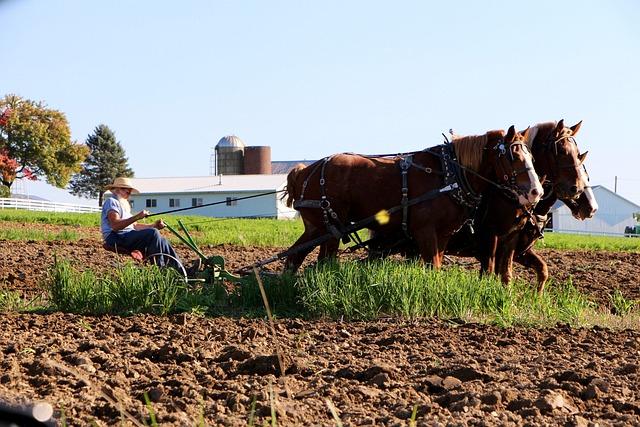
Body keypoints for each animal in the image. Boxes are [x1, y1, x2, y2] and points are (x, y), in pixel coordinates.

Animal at [284, 125, 543, 272]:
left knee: (296, 256)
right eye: (513, 156)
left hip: (318, 228)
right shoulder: (425, 231)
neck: (448, 174)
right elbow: (432, 267)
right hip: (327, 228)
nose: (536, 192)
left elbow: (436, 265)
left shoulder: (443, 235)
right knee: (315, 259)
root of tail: (304, 171)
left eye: (531, 156)